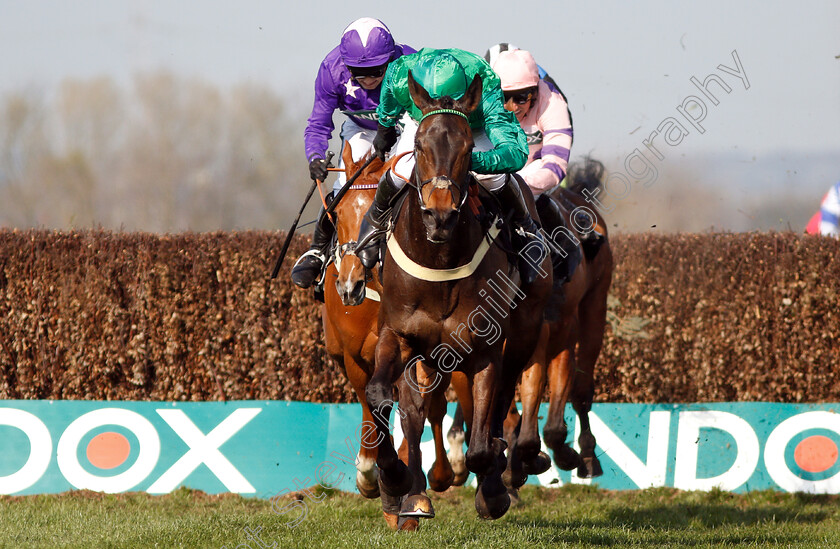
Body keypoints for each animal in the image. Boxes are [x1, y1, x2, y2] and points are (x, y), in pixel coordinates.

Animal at [364, 70, 556, 520]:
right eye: (419, 145)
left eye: (469, 148)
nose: (440, 216)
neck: (439, 262)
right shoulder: (397, 335)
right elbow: (381, 396)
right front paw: (393, 479)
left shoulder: (484, 349)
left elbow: (481, 446)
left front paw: (494, 491)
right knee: (415, 409)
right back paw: (414, 492)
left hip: (522, 329)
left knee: (503, 397)